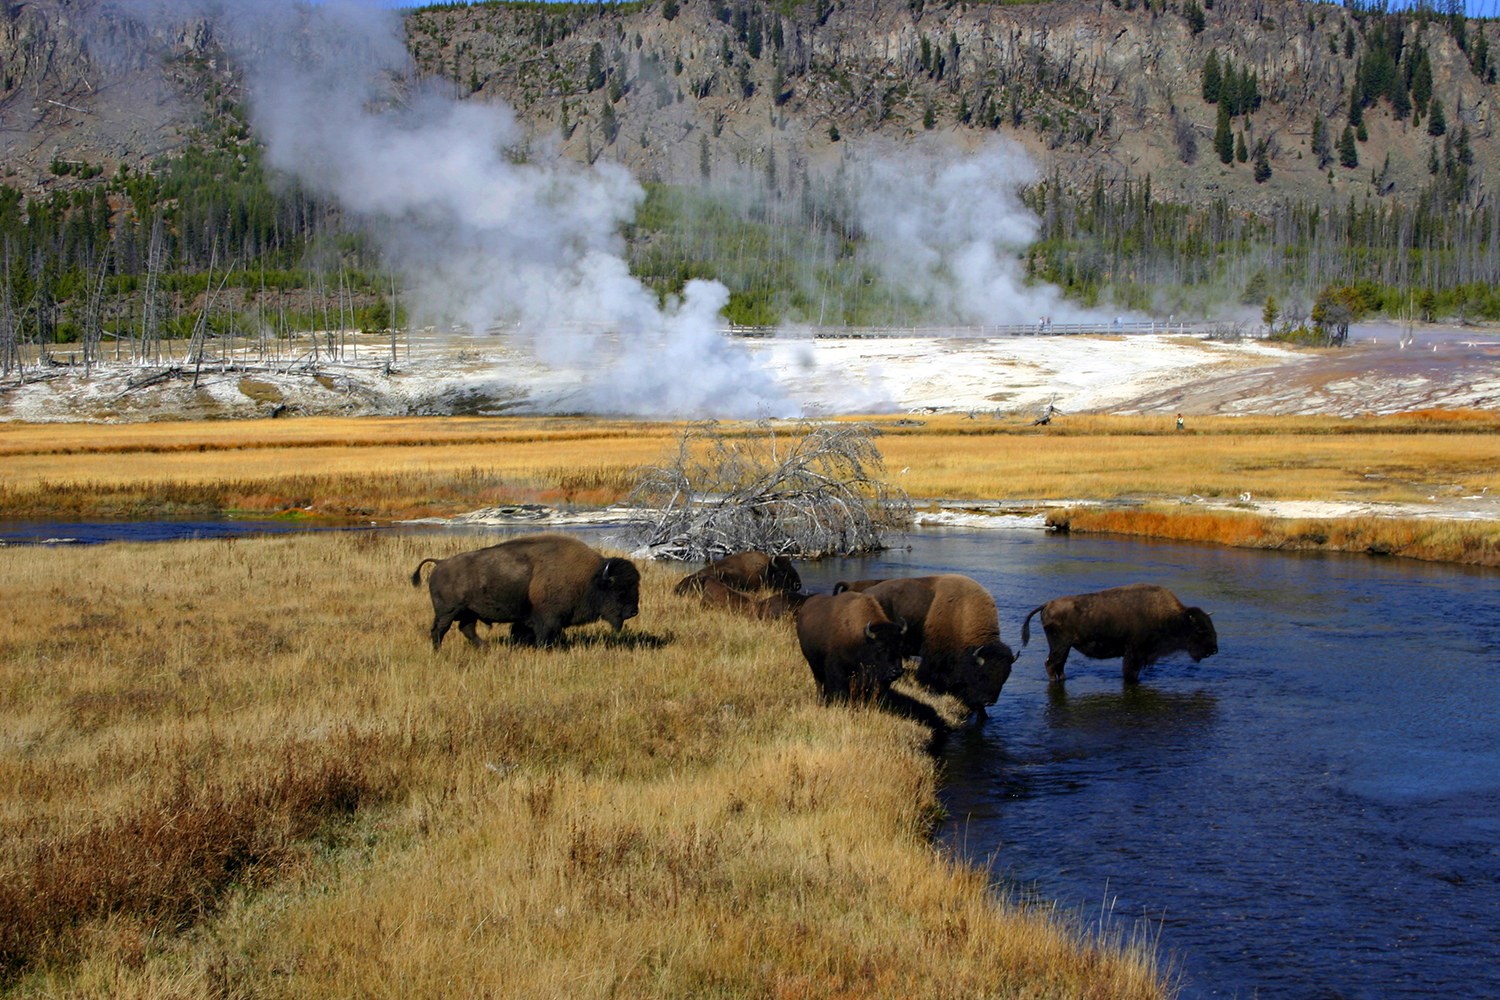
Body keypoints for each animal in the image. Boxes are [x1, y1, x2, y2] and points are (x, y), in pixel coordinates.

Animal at [411, 536, 639, 653]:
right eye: (620, 590)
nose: (633, 611)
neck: (590, 577)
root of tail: (440, 563)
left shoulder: (527, 620)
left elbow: (521, 632)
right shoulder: (548, 620)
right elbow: (545, 635)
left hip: (469, 612)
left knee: (466, 628)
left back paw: (485, 648)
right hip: (447, 612)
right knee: (439, 630)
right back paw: (438, 651)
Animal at [864, 575, 1014, 716]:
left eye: (1004, 678)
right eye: (981, 675)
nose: (989, 702)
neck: (961, 612)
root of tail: (869, 591)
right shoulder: (933, 656)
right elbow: (928, 676)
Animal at [1020, 581, 1218, 683]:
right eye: (1200, 629)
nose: (1214, 650)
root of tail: (1047, 605)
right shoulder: (1134, 653)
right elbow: (1130, 673)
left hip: (1065, 647)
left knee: (1059, 665)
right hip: (1059, 646)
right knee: (1051, 664)